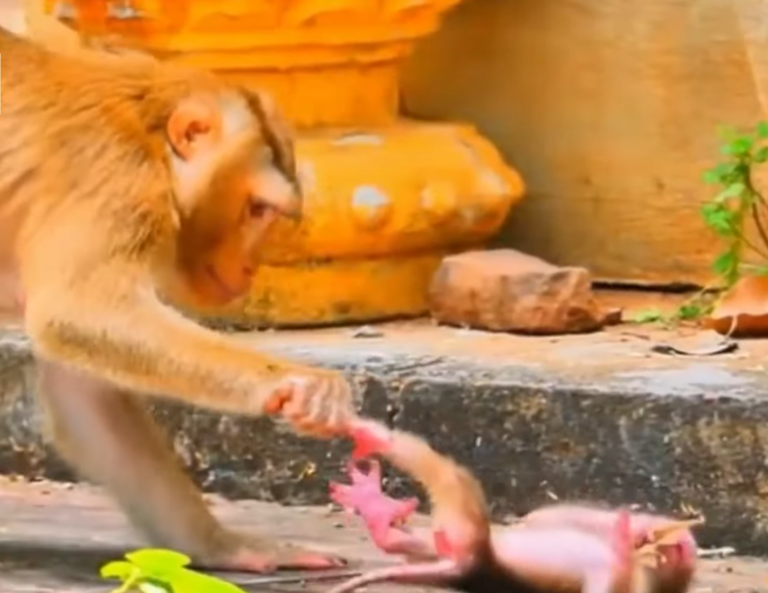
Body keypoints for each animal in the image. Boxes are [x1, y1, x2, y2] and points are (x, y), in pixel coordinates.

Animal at [0, 27, 359, 573]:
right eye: (257, 209)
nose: (251, 267)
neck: (149, 134)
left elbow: (84, 391)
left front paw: (225, 545)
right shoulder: (121, 182)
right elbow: (75, 313)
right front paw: (300, 385)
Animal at [327, 418, 701, 593]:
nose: (680, 542)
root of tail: (466, 567)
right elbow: (547, 516)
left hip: (466, 526)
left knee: (445, 475)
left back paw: (371, 437)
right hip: (450, 546)